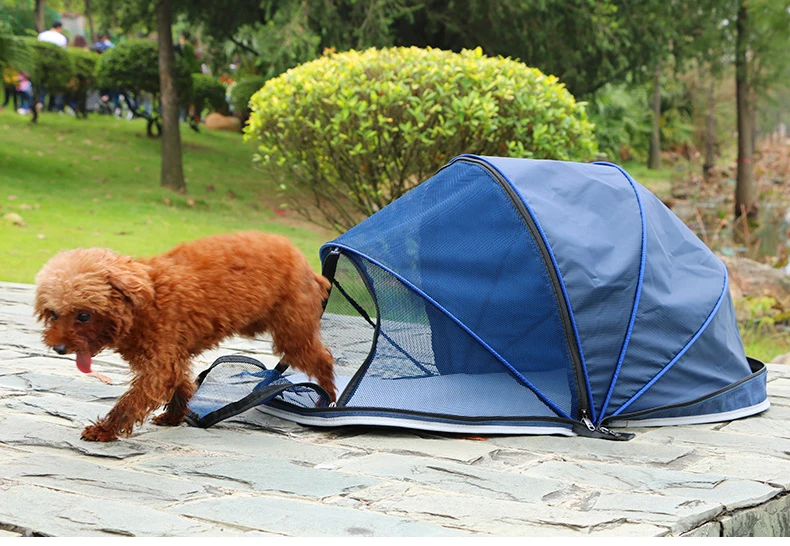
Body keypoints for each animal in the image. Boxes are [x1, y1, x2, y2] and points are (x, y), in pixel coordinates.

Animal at [34, 230, 336, 438]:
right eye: (53, 314)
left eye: (84, 315)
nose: (59, 349)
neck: (144, 302)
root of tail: (305, 264)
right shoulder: (171, 357)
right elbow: (181, 386)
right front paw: (175, 416)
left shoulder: (158, 366)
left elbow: (129, 402)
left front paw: (104, 430)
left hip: (293, 332)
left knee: (323, 360)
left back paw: (329, 399)